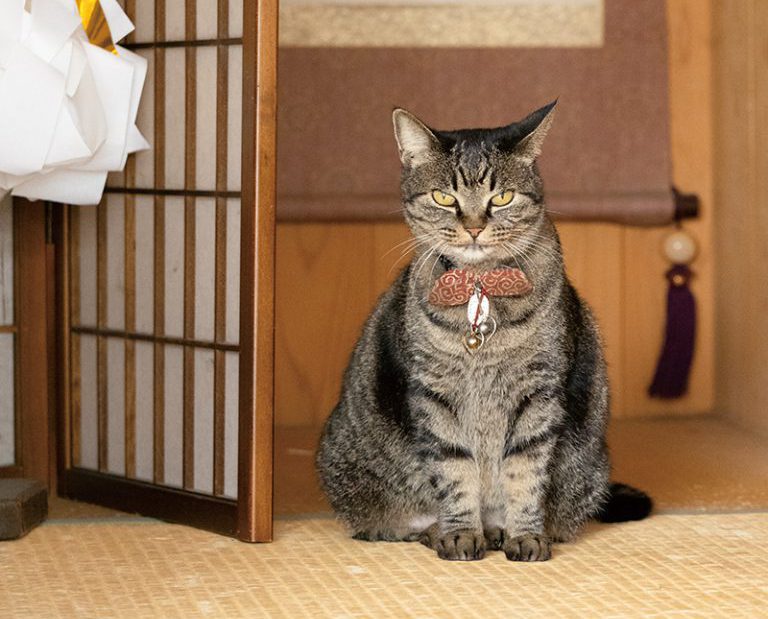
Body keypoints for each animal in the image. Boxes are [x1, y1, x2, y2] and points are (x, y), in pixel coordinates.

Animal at [316, 103, 652, 560]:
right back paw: (441, 530)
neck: (480, 290)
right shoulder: (435, 393)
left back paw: (497, 530)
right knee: (391, 526)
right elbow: (454, 471)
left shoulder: (538, 393)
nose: (474, 226)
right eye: (444, 197)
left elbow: (525, 472)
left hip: (588, 468)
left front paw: (524, 535)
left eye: (502, 197)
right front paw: (461, 533)